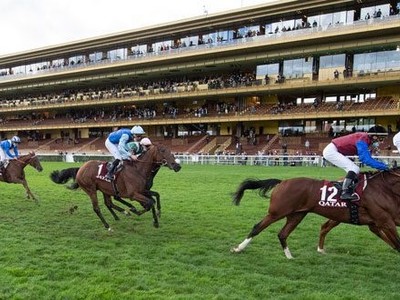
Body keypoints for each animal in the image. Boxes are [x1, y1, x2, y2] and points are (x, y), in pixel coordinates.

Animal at [49, 144, 181, 231]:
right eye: (163, 151)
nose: (177, 166)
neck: (138, 170)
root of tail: (81, 168)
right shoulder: (133, 194)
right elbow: (149, 202)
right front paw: (139, 211)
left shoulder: (143, 190)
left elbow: (155, 196)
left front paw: (156, 217)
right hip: (91, 190)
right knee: (97, 208)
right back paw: (108, 225)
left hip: (105, 189)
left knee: (108, 203)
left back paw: (121, 214)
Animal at [230, 170, 400, 258]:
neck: (384, 188)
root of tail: (282, 181)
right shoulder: (384, 221)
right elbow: (398, 243)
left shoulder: (380, 222)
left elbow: (395, 243)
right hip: (277, 212)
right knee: (257, 227)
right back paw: (239, 248)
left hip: (297, 215)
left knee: (283, 233)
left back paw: (290, 256)